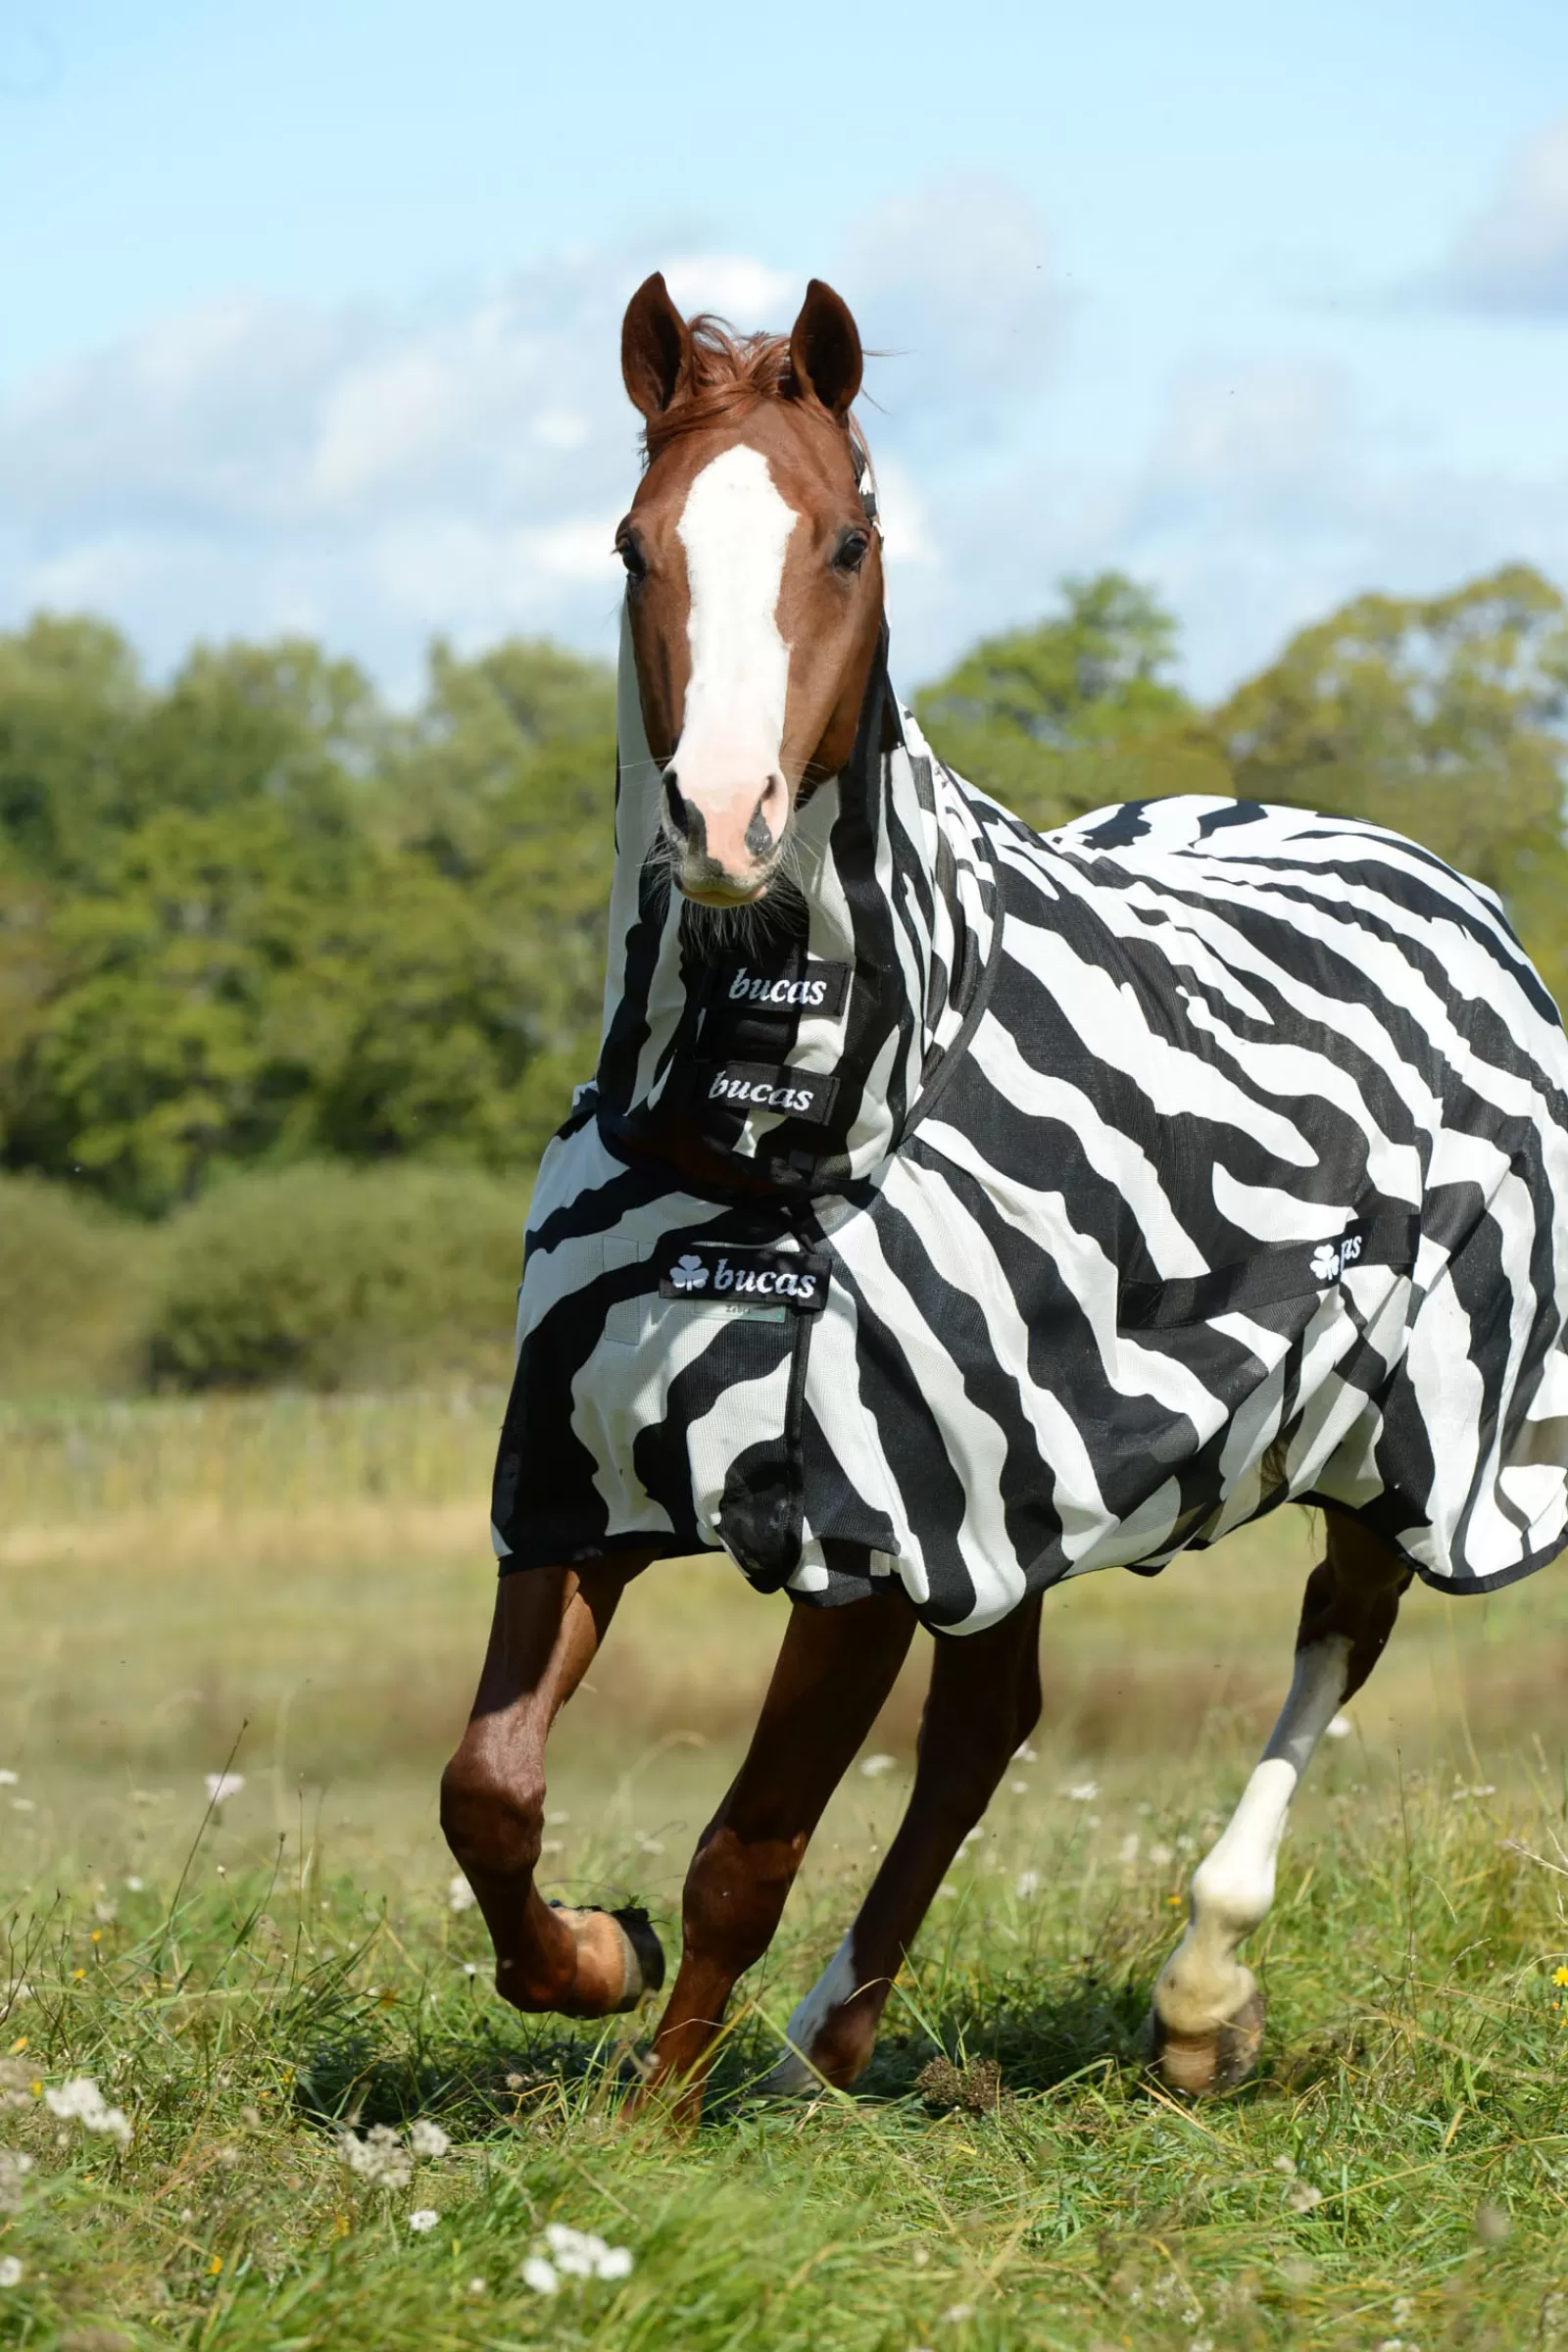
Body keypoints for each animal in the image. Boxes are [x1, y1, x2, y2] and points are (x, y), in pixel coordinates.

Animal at [439, 270, 1568, 2117]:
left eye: (846, 541)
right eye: (633, 544)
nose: (726, 825)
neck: (757, 1155)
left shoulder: (867, 1534)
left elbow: (744, 1851)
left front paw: (654, 2127)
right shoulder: (583, 1473)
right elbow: (493, 1790)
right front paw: (599, 1963)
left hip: (1412, 1434)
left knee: (1339, 1631)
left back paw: (1198, 1995)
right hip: (1020, 1499)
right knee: (991, 1726)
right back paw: (828, 2045)